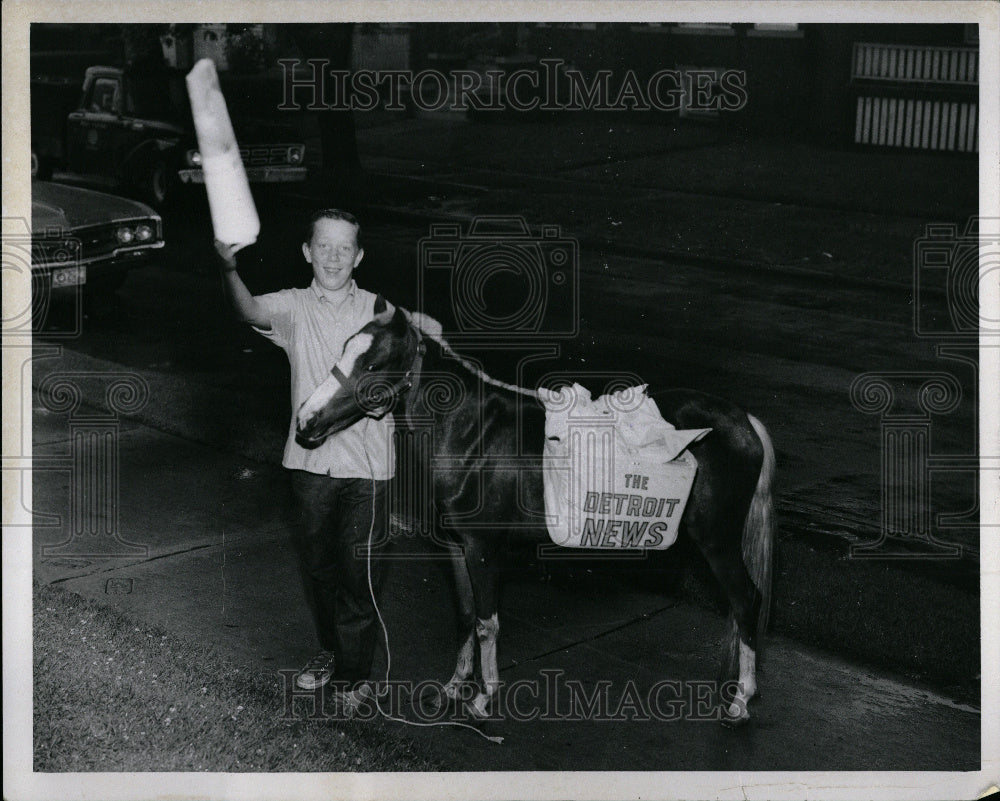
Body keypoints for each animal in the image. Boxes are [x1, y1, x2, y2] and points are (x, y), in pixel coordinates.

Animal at [292, 298, 776, 724]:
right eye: (344, 349)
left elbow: (487, 623)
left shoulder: (483, 548)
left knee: (746, 601)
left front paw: (483, 699)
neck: (472, 433)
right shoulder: (455, 547)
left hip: (717, 540)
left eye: (374, 364)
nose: (306, 421)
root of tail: (743, 421)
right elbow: (465, 616)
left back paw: (741, 701)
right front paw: (453, 688)